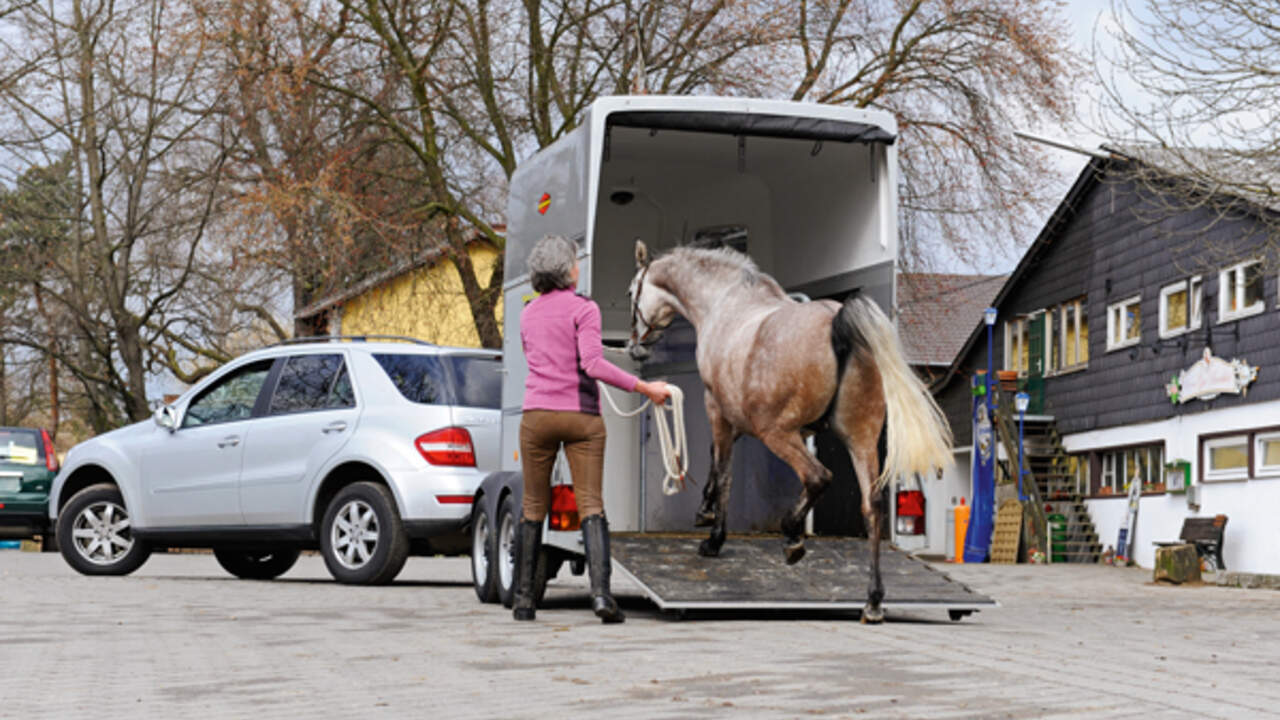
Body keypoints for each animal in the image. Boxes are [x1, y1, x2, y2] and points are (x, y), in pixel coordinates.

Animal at [624, 238, 957, 620]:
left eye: (632, 291)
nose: (634, 346)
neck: (725, 303)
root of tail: (837, 323)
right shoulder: (745, 420)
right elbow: (716, 463)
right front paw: (705, 511)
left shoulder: (719, 410)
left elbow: (723, 470)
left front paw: (713, 537)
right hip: (860, 440)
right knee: (872, 506)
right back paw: (872, 601)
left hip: (778, 434)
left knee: (817, 477)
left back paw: (793, 536)